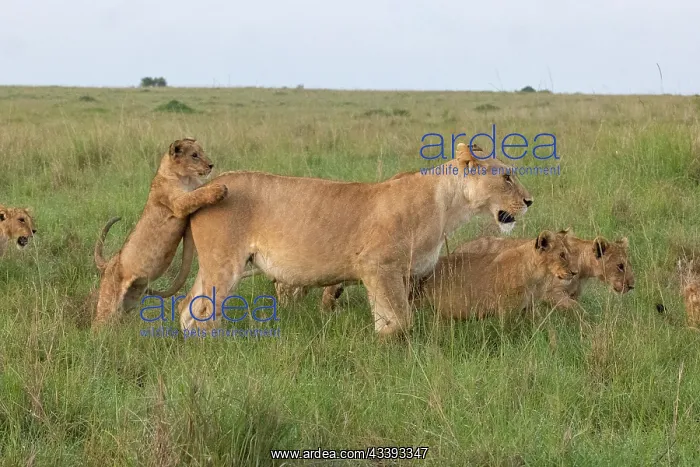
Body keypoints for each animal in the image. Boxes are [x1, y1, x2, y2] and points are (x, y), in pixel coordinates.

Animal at [91, 138, 229, 329]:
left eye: (202, 152)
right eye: (194, 155)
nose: (210, 165)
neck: (184, 177)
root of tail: (109, 262)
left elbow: (198, 189)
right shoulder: (178, 203)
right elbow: (196, 195)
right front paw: (219, 189)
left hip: (130, 300)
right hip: (108, 301)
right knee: (98, 324)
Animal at [176, 142, 533, 337]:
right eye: (507, 177)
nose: (530, 201)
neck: (449, 205)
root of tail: (204, 187)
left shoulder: (402, 274)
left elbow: (392, 317)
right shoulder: (377, 264)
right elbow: (399, 321)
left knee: (188, 307)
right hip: (224, 263)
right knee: (199, 313)